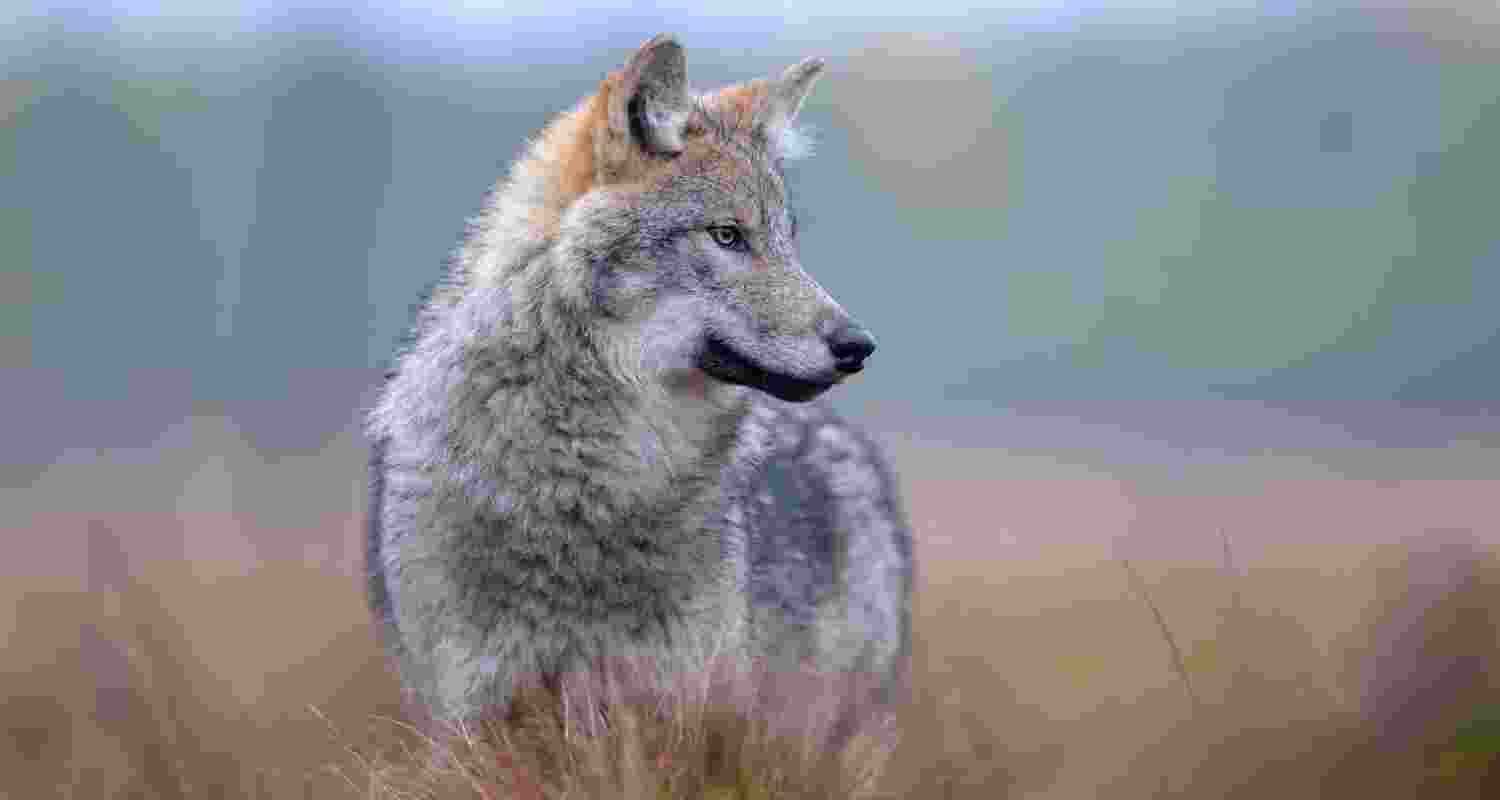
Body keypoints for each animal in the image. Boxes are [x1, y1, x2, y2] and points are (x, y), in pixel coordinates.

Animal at [366, 34, 912, 730]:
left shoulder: (674, 699)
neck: (578, 488)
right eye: (727, 235)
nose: (857, 346)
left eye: (788, 242)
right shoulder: (471, 713)